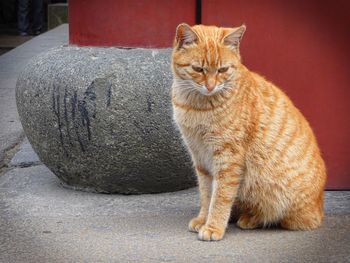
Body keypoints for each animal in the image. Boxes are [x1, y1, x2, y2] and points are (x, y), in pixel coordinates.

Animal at [171, 23, 326, 242]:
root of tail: (319, 206)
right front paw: (203, 219)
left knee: (280, 218)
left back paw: (250, 219)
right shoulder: (200, 158)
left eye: (223, 70)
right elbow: (206, 194)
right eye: (198, 69)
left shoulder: (228, 160)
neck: (197, 105)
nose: (210, 86)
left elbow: (220, 197)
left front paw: (213, 226)